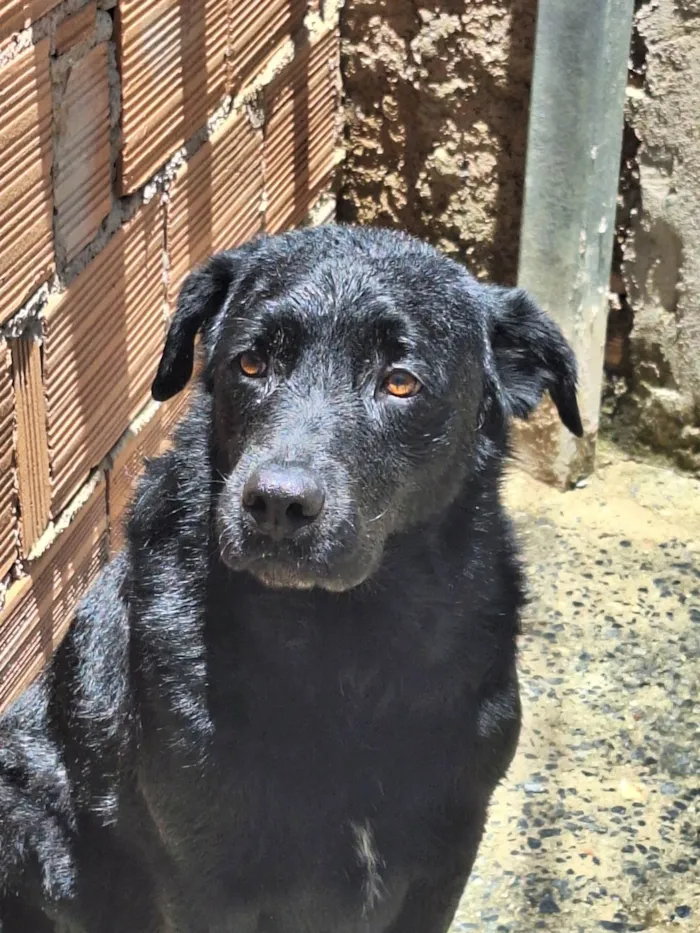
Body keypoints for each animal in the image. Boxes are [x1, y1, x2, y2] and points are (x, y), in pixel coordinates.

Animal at [0, 228, 580, 932]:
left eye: (400, 382)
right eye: (251, 364)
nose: (277, 504)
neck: (346, 644)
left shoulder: (448, 851)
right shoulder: (206, 878)